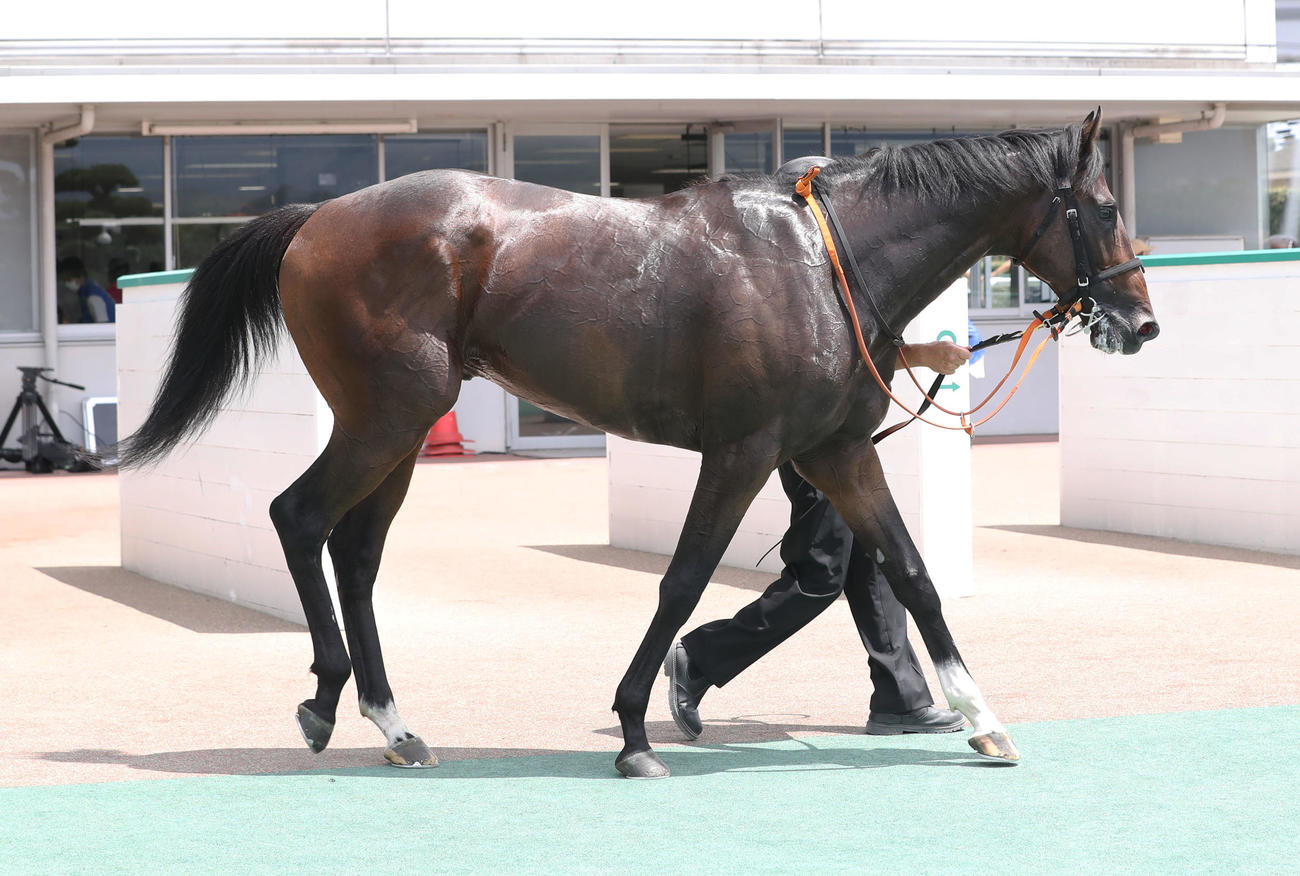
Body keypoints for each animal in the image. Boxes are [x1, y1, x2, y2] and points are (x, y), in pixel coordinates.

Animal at [120, 108, 1158, 779]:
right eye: (1106, 208)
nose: (1141, 323)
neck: (822, 264)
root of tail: (319, 218)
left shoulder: (837, 453)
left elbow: (910, 574)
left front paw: (985, 720)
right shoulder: (744, 454)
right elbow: (684, 581)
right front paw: (634, 730)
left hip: (401, 430)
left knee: (358, 552)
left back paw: (393, 723)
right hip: (389, 415)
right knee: (299, 518)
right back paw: (326, 701)